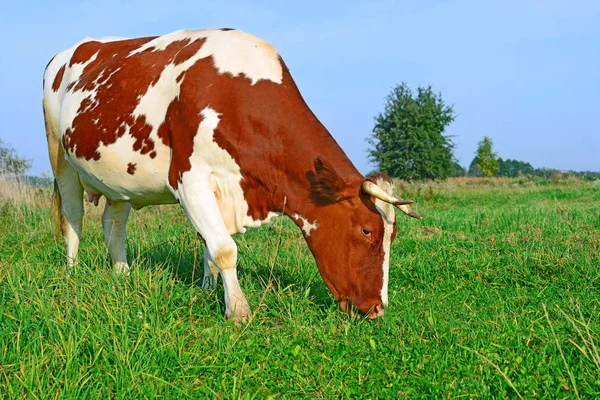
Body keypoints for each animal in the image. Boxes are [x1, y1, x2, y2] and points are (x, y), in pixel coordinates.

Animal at [43, 28, 422, 322]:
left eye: (393, 234)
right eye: (366, 230)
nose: (377, 309)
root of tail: (69, 50)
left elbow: (209, 245)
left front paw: (207, 289)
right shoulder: (189, 179)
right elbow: (224, 248)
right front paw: (238, 310)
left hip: (118, 177)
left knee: (114, 224)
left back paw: (122, 274)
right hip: (59, 154)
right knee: (72, 218)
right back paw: (72, 272)